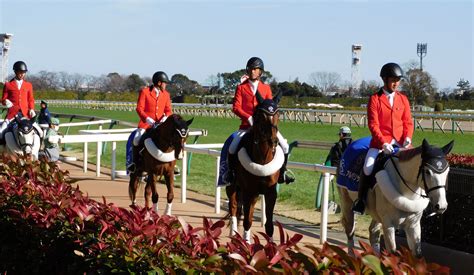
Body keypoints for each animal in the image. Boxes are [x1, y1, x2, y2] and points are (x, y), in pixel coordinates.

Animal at [227, 99, 286, 244]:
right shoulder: (249, 192)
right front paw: (246, 244)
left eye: (277, 114)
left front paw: (272, 247)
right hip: (232, 187)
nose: (273, 141)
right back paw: (234, 235)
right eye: (260, 116)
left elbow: (269, 224)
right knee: (233, 208)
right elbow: (247, 221)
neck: (262, 160)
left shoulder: (270, 193)